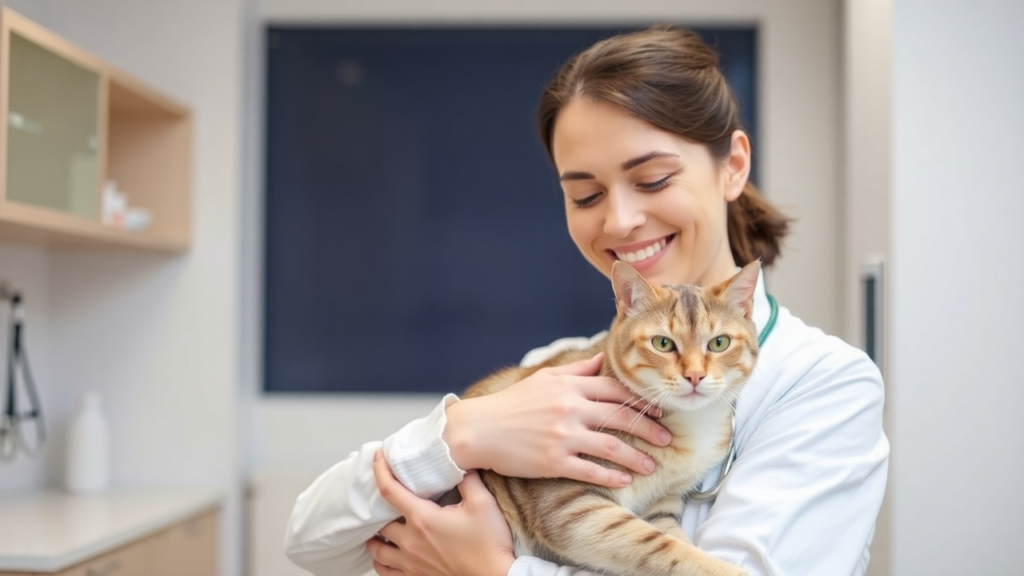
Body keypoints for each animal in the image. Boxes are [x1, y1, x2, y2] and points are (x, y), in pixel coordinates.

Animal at [464, 260, 761, 573]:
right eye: (663, 343)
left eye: (719, 343)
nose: (694, 375)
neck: (687, 424)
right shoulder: (572, 506)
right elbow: (659, 546)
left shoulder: (661, 504)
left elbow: (673, 538)